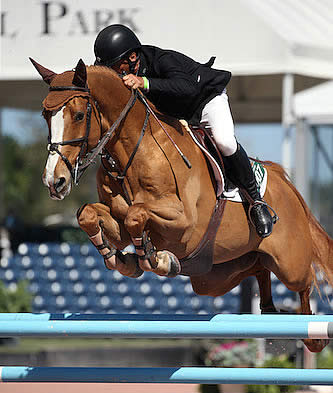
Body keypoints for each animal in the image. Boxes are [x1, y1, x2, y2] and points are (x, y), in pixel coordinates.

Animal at [31, 58, 332, 352]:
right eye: (45, 115)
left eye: (79, 116)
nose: (54, 181)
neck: (134, 151)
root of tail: (284, 182)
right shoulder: (117, 219)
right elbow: (90, 215)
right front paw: (123, 259)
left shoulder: (185, 224)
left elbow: (136, 215)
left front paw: (156, 259)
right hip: (215, 276)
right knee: (258, 269)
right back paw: (270, 310)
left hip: (289, 264)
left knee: (306, 282)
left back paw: (312, 334)